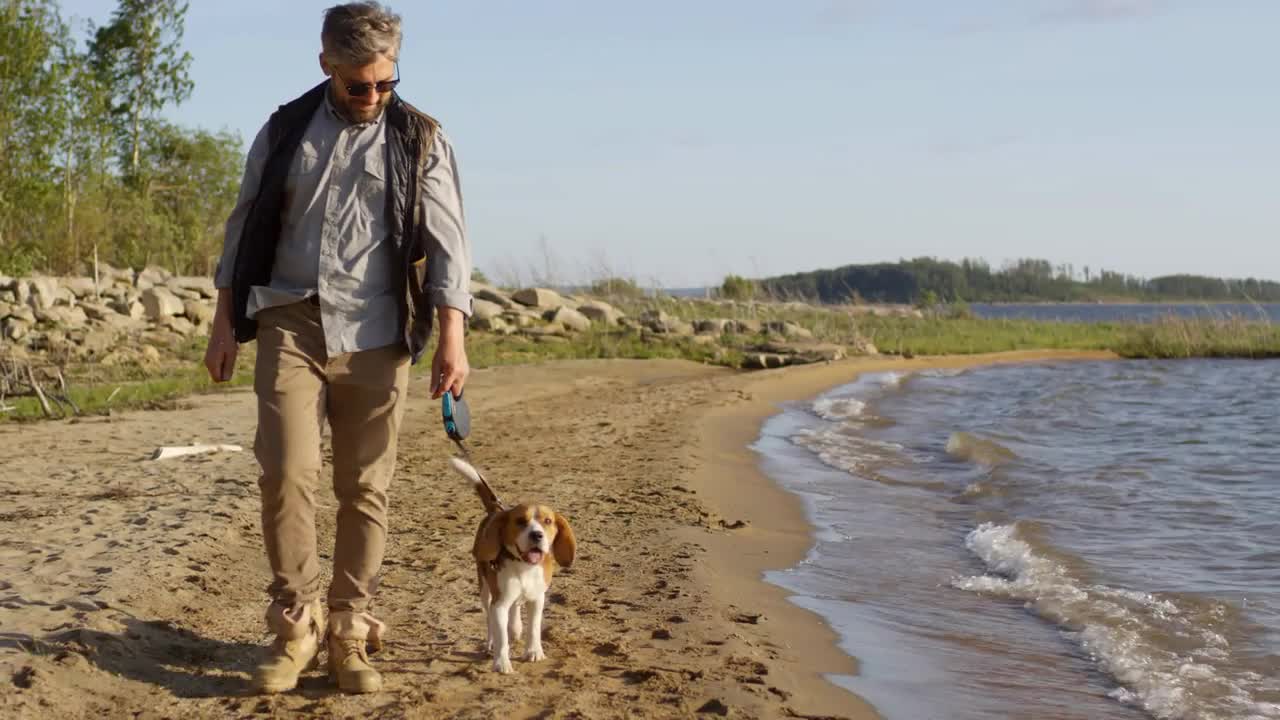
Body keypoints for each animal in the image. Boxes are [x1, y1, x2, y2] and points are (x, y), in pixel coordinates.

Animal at [445, 456, 576, 671]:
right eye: (520, 521)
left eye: (548, 521)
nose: (537, 535)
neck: (524, 567)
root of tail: (496, 510)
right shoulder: (499, 604)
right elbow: (501, 636)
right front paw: (502, 662)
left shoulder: (537, 598)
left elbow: (533, 628)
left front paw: (534, 651)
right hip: (484, 589)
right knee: (489, 618)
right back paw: (491, 642)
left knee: (515, 610)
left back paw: (515, 628)